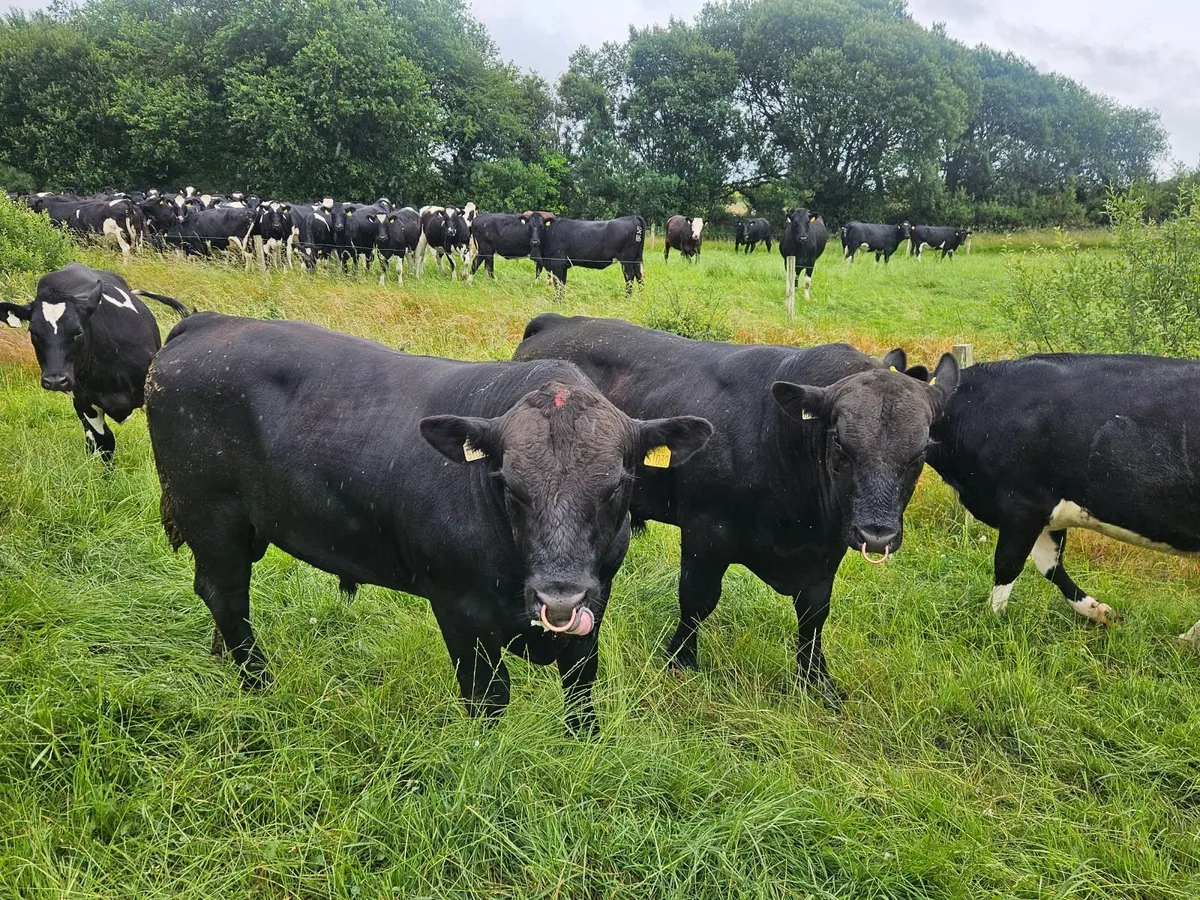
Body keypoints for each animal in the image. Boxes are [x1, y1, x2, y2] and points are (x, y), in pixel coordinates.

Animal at [144, 312, 712, 734]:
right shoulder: (459, 608)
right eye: (509, 484)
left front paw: (583, 745)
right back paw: (258, 683)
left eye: (616, 485)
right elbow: (488, 697)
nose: (558, 599)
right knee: (226, 594)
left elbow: (580, 685)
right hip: (210, 514)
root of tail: (204, 322)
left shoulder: (595, 600)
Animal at [515, 313, 959, 703]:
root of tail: (555, 322)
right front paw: (681, 661)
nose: (876, 533)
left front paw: (817, 681)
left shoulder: (828, 549)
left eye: (921, 452)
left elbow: (814, 615)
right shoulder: (705, 534)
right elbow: (697, 600)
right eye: (839, 443)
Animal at [925, 353, 1200, 646]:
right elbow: (1050, 566)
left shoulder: (1022, 505)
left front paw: (990, 623)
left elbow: (1007, 564)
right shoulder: (1049, 513)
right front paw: (1102, 613)